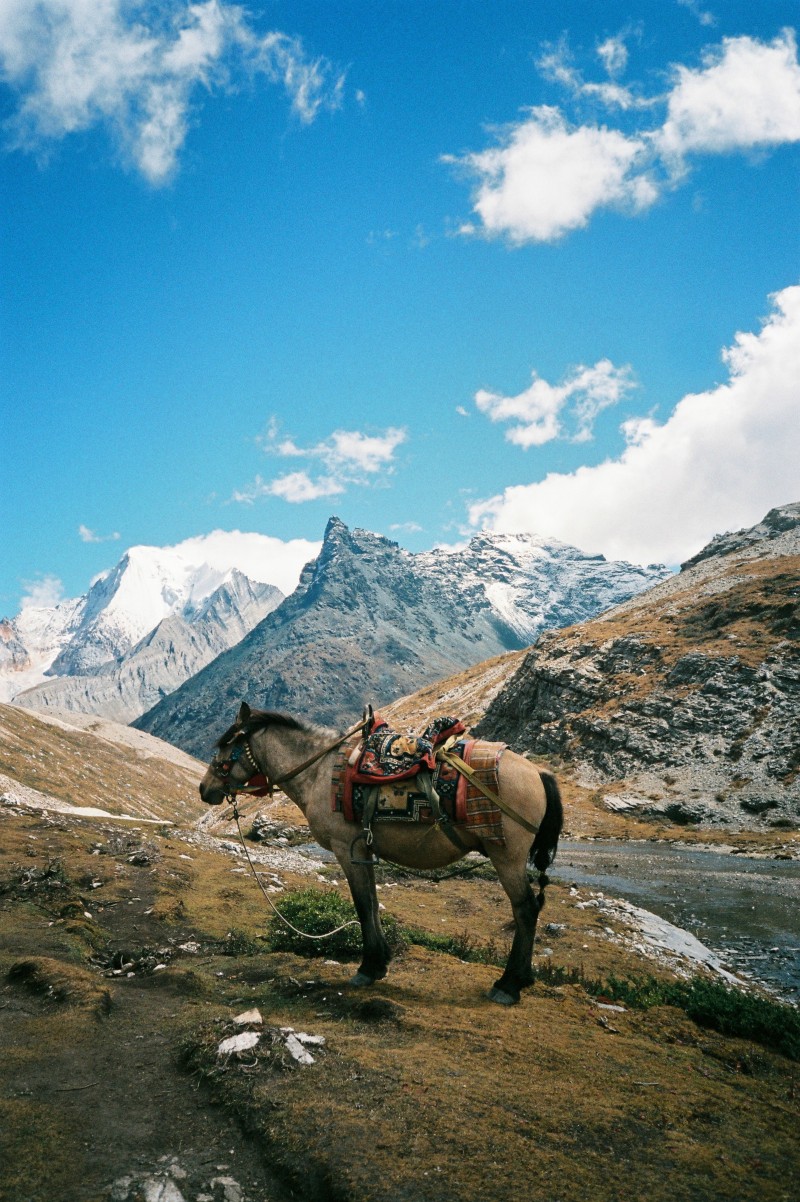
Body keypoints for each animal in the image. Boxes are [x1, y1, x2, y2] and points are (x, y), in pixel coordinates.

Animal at [198, 701, 559, 1004]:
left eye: (227, 747)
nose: (205, 789)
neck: (318, 772)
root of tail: (538, 773)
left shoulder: (346, 850)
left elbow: (361, 905)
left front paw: (367, 968)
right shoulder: (364, 850)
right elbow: (371, 902)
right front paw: (380, 962)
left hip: (506, 857)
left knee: (526, 909)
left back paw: (509, 985)